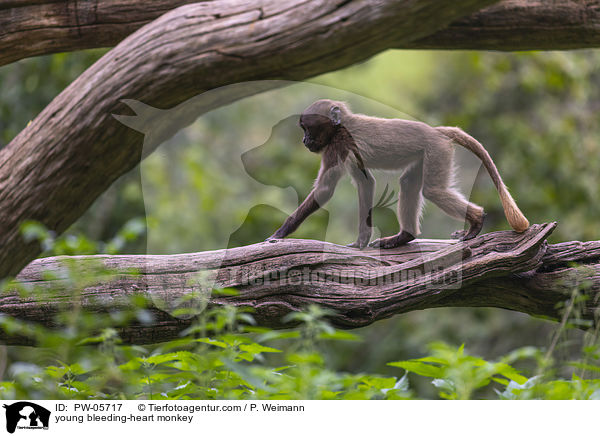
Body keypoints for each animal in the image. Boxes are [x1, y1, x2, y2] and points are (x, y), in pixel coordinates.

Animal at [264, 99, 528, 249]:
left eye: (308, 129)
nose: (304, 140)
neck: (342, 125)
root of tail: (435, 131)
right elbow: (366, 183)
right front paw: (361, 241)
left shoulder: (337, 144)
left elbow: (325, 191)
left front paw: (280, 233)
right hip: (427, 154)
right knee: (409, 182)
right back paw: (405, 237)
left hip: (436, 150)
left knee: (432, 190)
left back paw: (477, 221)